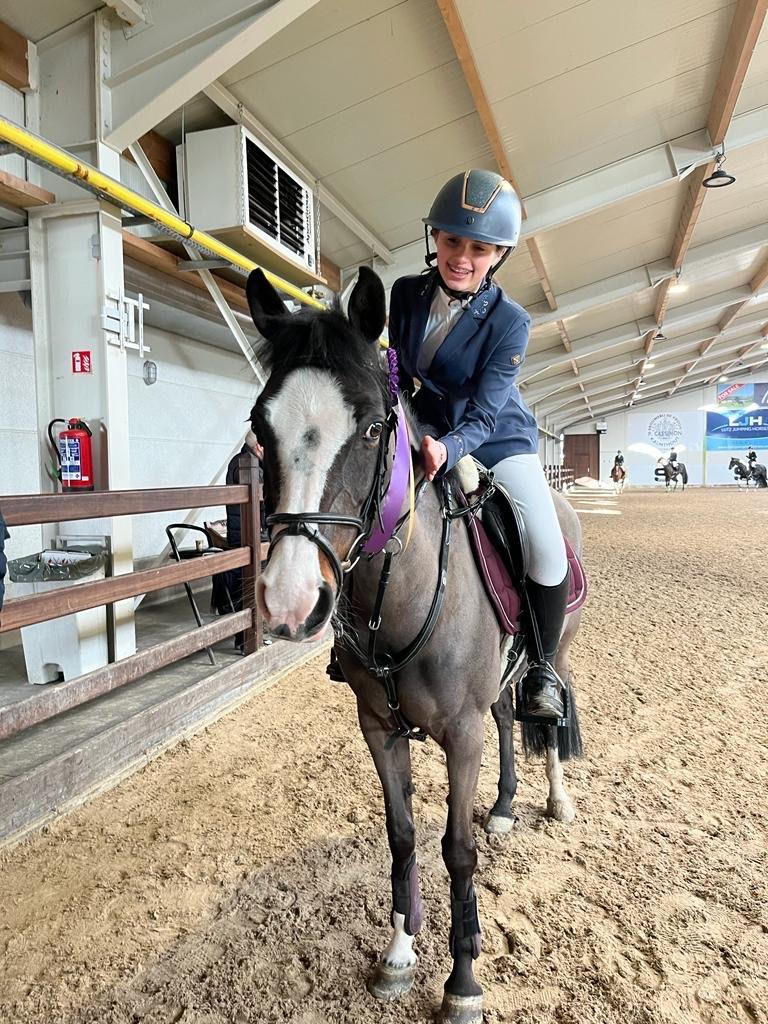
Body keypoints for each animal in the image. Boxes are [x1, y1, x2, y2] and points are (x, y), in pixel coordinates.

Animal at [245, 266, 584, 1024]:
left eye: (374, 427)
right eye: (259, 424)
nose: (288, 602)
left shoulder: (459, 733)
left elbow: (455, 848)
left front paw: (463, 981)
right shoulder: (378, 727)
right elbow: (401, 835)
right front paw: (399, 952)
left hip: (558, 648)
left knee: (549, 709)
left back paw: (554, 798)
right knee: (508, 716)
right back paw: (507, 807)